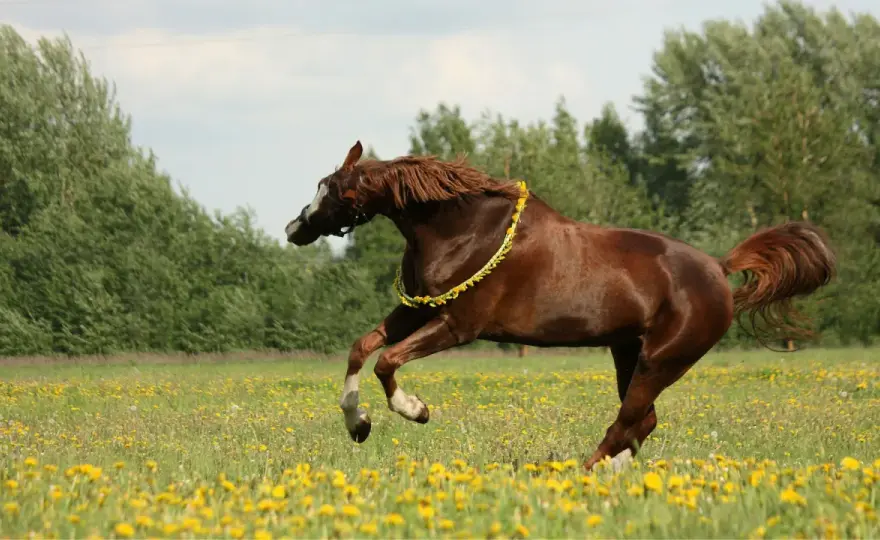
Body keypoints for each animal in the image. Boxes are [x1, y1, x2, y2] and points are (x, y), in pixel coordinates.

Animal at [285, 140, 836, 470]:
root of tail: (719, 270)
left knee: (627, 422)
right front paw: (357, 425)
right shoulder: (417, 311)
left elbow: (387, 361)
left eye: (333, 192)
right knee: (641, 422)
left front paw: (414, 410)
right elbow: (362, 348)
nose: (294, 228)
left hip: (662, 359)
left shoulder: (457, 324)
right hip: (628, 352)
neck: (464, 230)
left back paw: (582, 475)